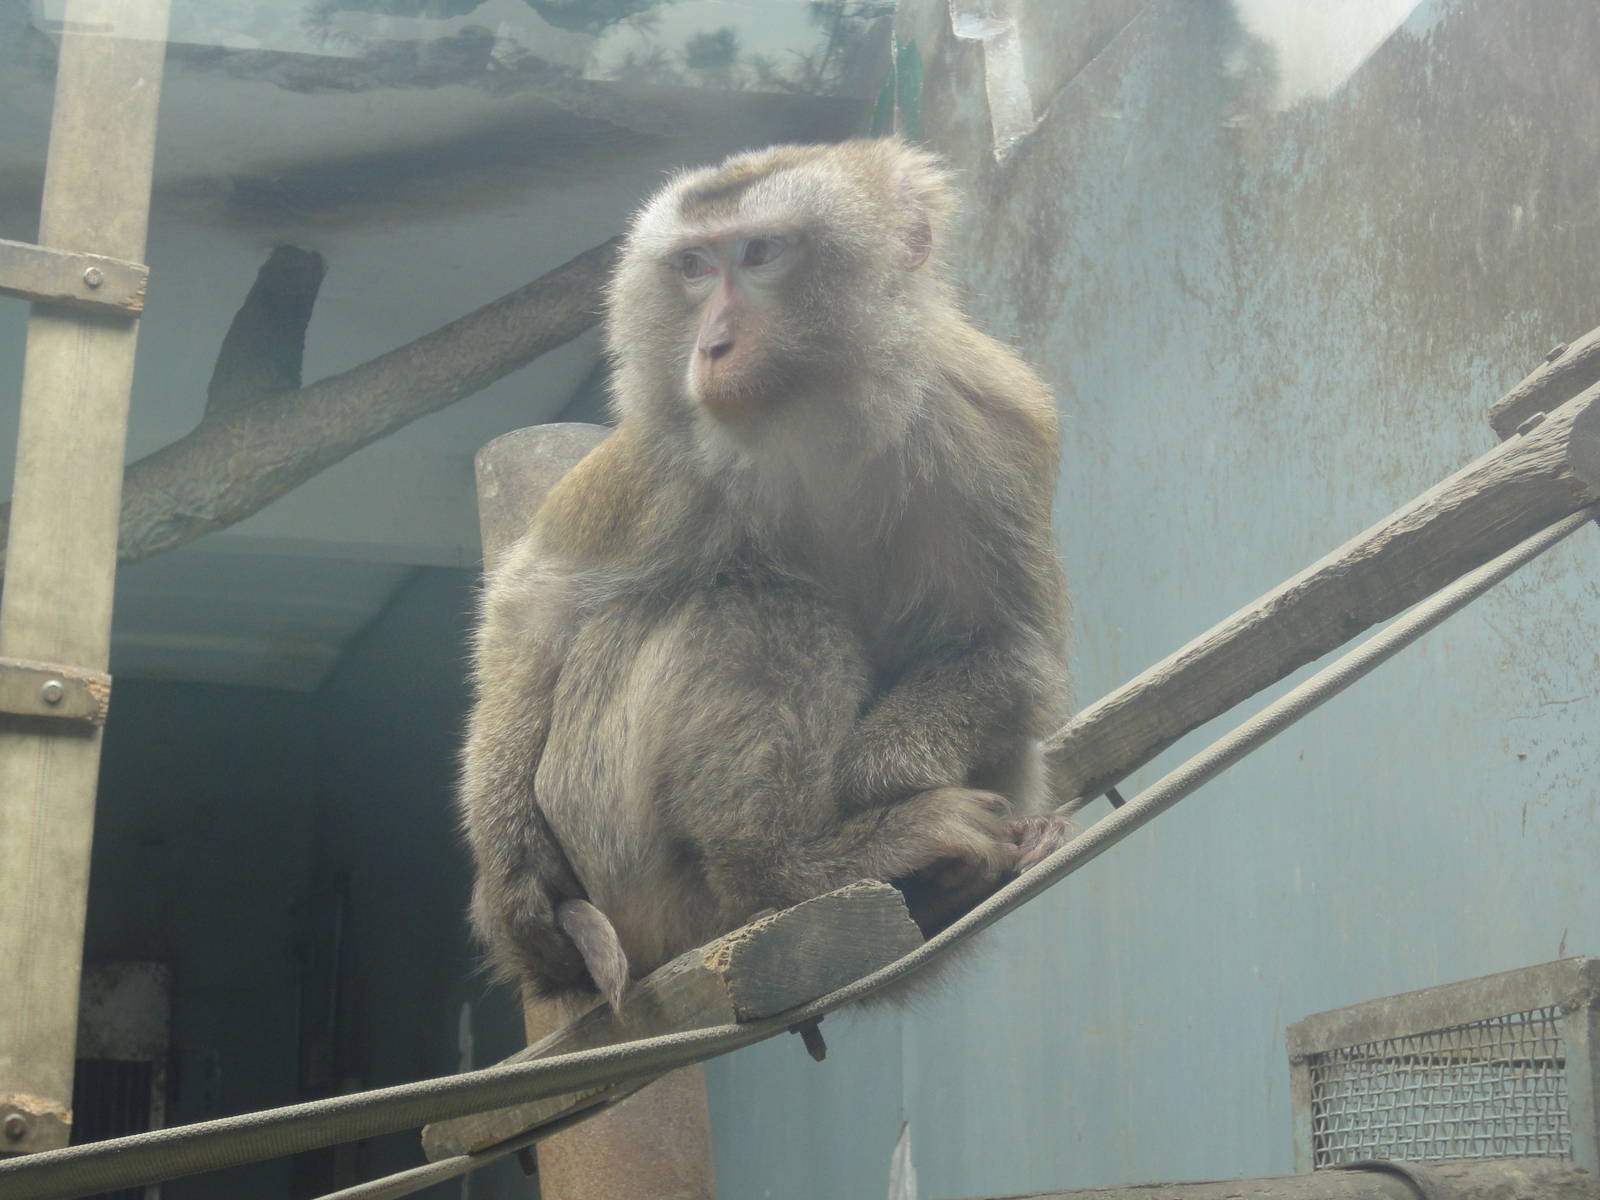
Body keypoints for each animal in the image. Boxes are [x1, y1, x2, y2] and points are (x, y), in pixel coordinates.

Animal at [458, 139, 1074, 1013]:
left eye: (758, 255)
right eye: (692, 266)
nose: (710, 345)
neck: (816, 427)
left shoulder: (992, 423)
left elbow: (1015, 654)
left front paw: (874, 768)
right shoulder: (668, 444)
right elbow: (540, 597)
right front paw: (509, 873)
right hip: (616, 847)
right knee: (758, 605)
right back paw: (787, 871)